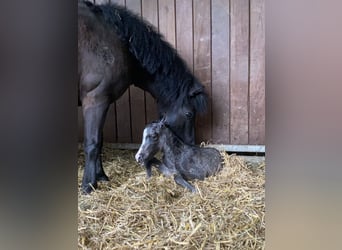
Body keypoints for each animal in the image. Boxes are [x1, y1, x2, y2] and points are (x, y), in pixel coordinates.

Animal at [79, 0, 208, 193]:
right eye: (189, 114)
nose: (190, 147)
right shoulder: (95, 101)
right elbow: (92, 144)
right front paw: (88, 185)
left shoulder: (103, 102)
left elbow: (100, 141)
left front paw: (101, 176)